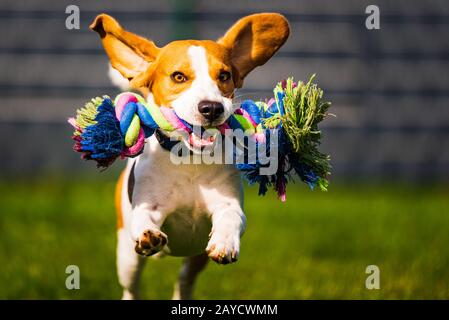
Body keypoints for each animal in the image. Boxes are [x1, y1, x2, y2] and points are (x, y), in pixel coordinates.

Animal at [89, 11, 288, 298]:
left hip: (196, 259)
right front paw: (149, 233)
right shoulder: (148, 206)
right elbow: (145, 218)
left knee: (184, 279)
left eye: (224, 75)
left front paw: (225, 243)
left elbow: (231, 217)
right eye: (179, 77)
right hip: (127, 257)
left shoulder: (227, 204)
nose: (212, 108)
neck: (190, 162)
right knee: (131, 286)